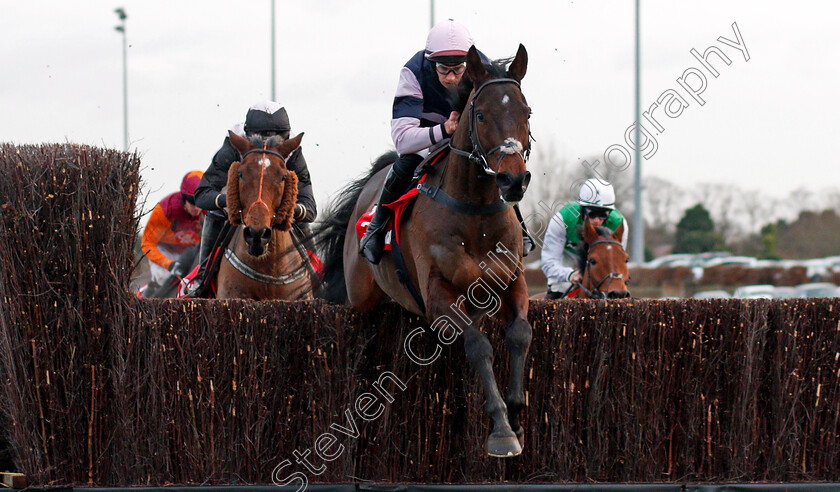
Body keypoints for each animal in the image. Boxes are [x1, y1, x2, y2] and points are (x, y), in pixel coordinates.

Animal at [318, 45, 536, 458]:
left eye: (526, 112)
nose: (513, 180)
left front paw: (517, 415)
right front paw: (501, 430)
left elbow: (519, 334)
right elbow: (478, 346)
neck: (475, 213)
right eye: (480, 114)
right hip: (359, 293)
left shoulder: (512, 281)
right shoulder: (438, 293)